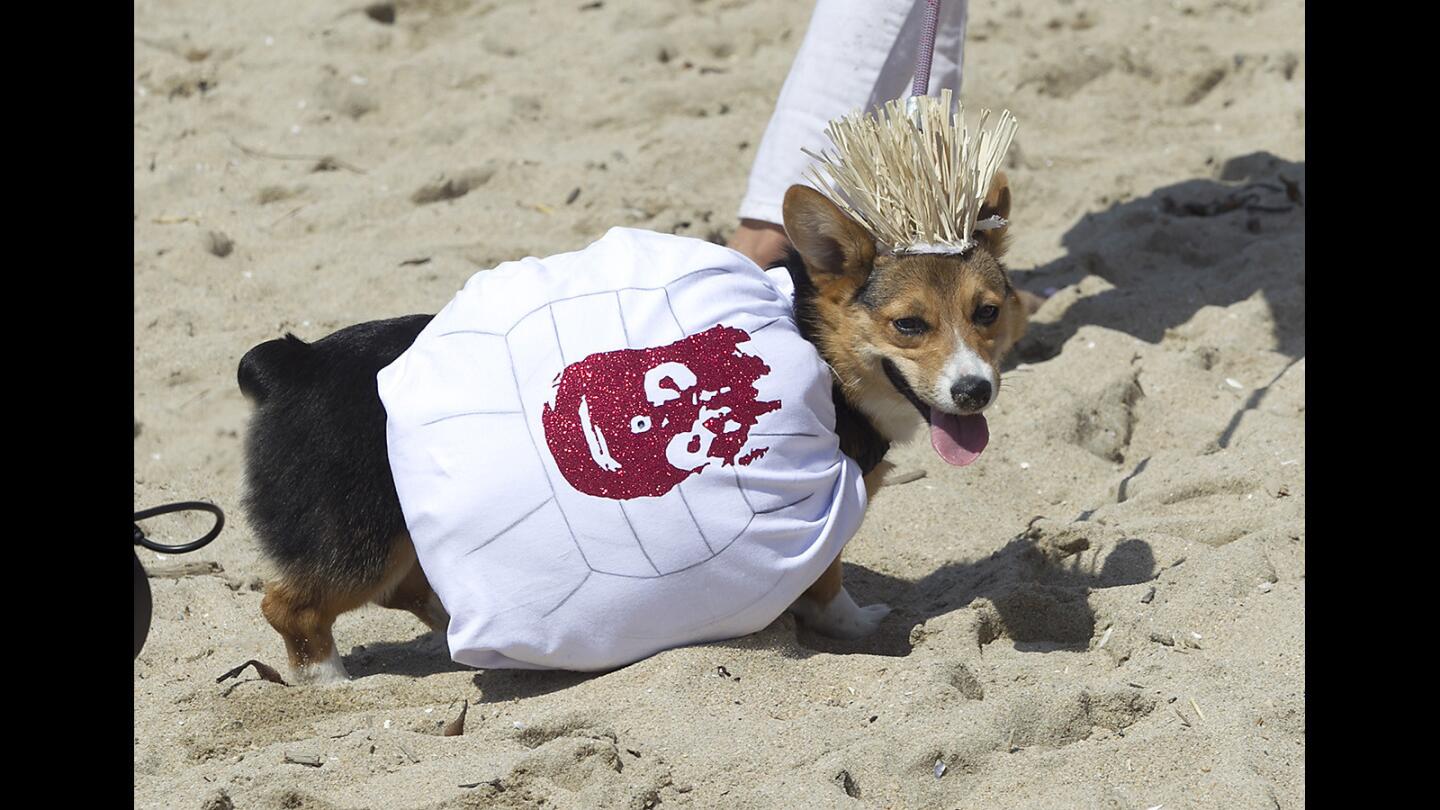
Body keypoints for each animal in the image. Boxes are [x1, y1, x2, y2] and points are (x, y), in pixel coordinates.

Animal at [236, 173, 1025, 677]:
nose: (975, 391)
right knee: (290, 605)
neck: (818, 345)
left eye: (987, 312)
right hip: (358, 539)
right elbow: (828, 583)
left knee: (401, 591)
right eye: (909, 325)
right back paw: (328, 680)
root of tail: (291, 365)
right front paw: (859, 628)